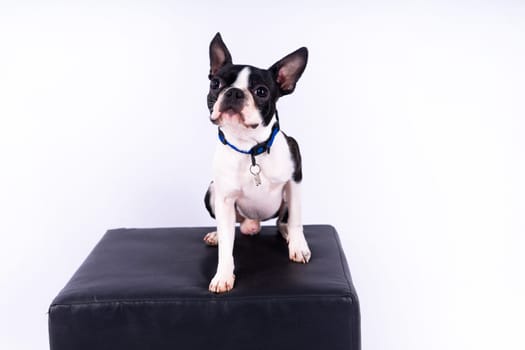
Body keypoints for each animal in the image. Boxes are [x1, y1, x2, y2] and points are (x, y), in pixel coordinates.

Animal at [202, 32, 310, 292]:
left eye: (261, 91)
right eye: (215, 84)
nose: (233, 92)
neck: (249, 148)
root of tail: (254, 222)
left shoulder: (294, 181)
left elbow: (296, 220)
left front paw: (298, 246)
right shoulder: (223, 198)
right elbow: (226, 247)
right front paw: (223, 275)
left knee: (283, 220)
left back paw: (286, 234)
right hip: (211, 192)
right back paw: (218, 234)